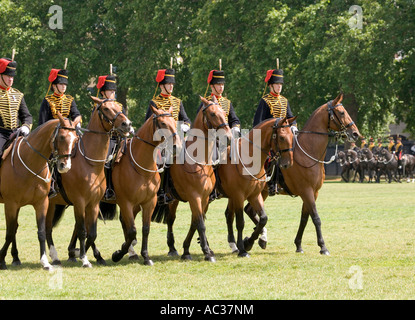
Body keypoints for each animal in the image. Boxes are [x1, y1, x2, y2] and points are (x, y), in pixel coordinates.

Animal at [0, 114, 79, 268]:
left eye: (76, 139)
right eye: (61, 137)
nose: (65, 166)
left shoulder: (42, 203)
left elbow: (41, 231)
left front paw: (45, 262)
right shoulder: (10, 204)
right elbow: (9, 232)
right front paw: (1, 260)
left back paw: (16, 258)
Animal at [45, 97, 132, 268]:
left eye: (118, 106)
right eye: (106, 108)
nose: (127, 124)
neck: (90, 164)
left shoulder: (94, 203)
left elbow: (92, 233)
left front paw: (84, 254)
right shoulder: (79, 202)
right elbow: (82, 230)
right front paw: (83, 257)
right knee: (48, 229)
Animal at [106, 104, 181, 264]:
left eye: (174, 121)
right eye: (163, 123)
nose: (176, 147)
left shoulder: (149, 202)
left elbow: (145, 228)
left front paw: (145, 256)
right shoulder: (126, 202)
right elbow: (132, 230)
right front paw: (118, 254)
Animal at [221, 117, 296, 258]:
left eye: (292, 136)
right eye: (282, 137)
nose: (288, 164)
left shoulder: (254, 195)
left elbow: (263, 218)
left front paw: (249, 242)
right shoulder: (238, 195)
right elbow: (240, 222)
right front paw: (243, 248)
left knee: (231, 214)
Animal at [244, 92, 360, 255]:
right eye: (342, 112)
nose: (355, 133)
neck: (308, 151)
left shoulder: (313, 192)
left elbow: (305, 218)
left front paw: (298, 245)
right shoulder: (306, 191)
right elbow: (316, 218)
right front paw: (323, 247)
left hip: (263, 192)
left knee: (249, 210)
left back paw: (260, 238)